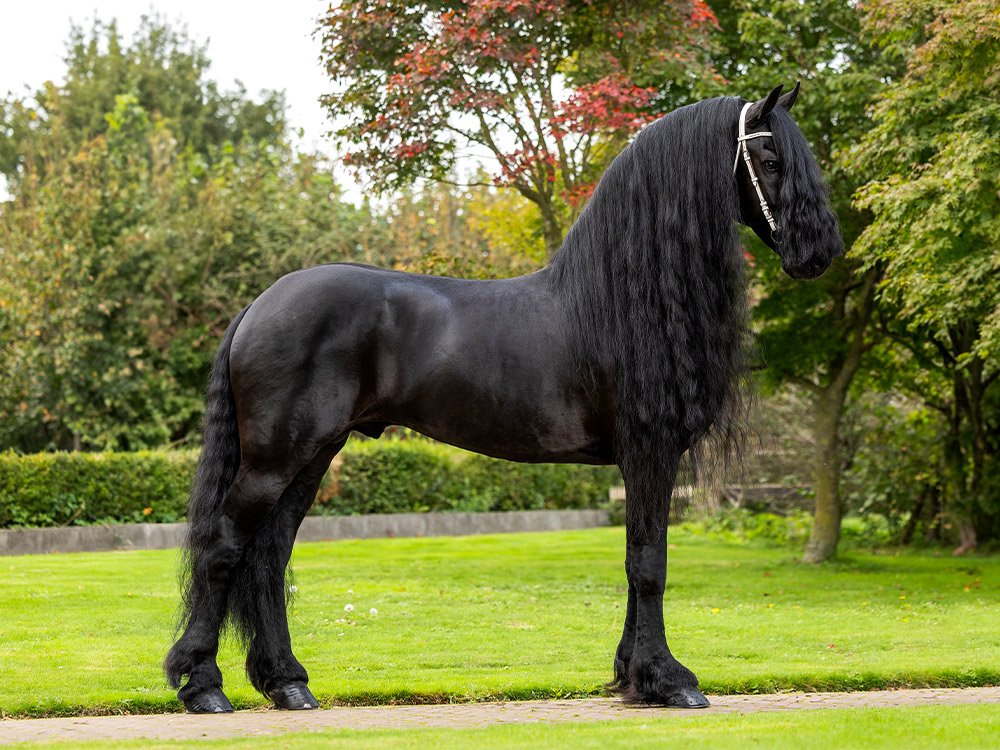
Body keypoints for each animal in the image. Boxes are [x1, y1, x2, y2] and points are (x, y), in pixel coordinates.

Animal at [164, 84, 843, 713]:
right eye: (771, 156)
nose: (821, 253)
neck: (619, 300)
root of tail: (260, 304)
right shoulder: (650, 453)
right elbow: (649, 565)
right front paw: (669, 681)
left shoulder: (641, 461)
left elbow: (635, 561)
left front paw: (631, 678)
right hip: (274, 458)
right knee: (225, 545)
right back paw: (203, 685)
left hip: (313, 455)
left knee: (271, 554)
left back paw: (288, 682)